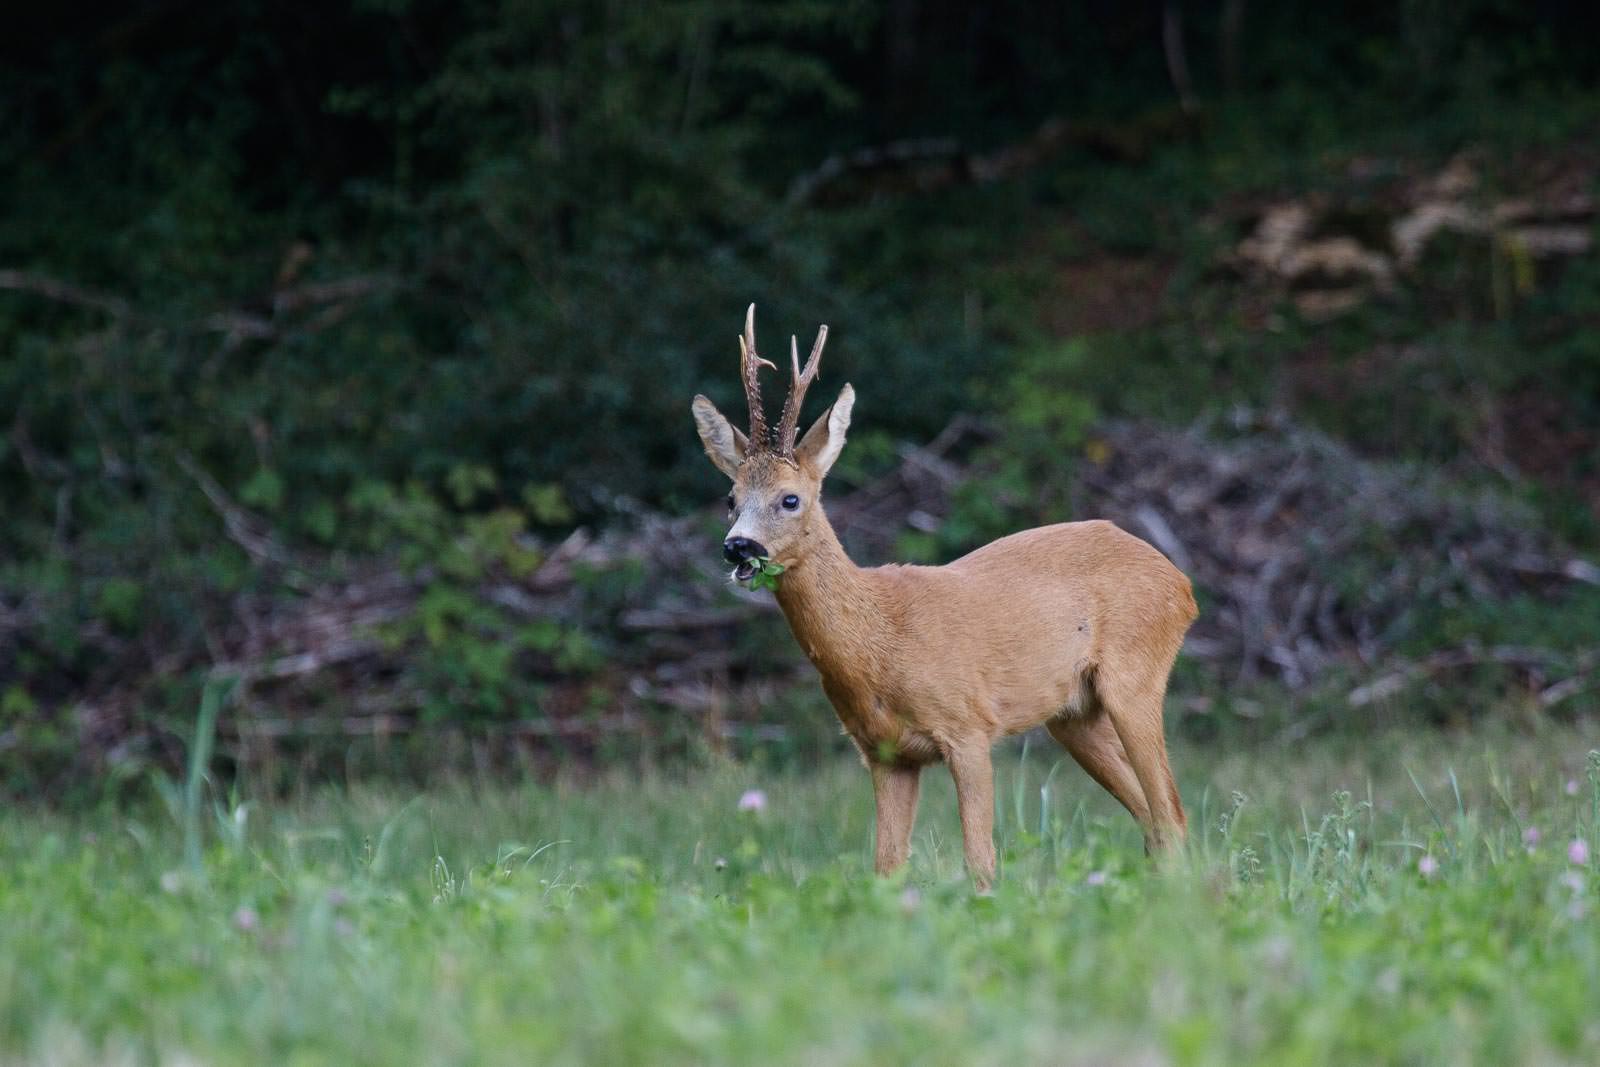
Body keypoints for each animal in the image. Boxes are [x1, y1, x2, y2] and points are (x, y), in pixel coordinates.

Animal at [691, 306, 1198, 891]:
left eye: (790, 499)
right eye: (730, 498)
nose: (739, 547)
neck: (881, 641)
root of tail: (1181, 583)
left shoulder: (969, 727)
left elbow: (980, 861)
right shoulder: (884, 754)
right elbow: (887, 868)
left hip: (1134, 677)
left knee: (1171, 811)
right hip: (1074, 714)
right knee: (1153, 819)